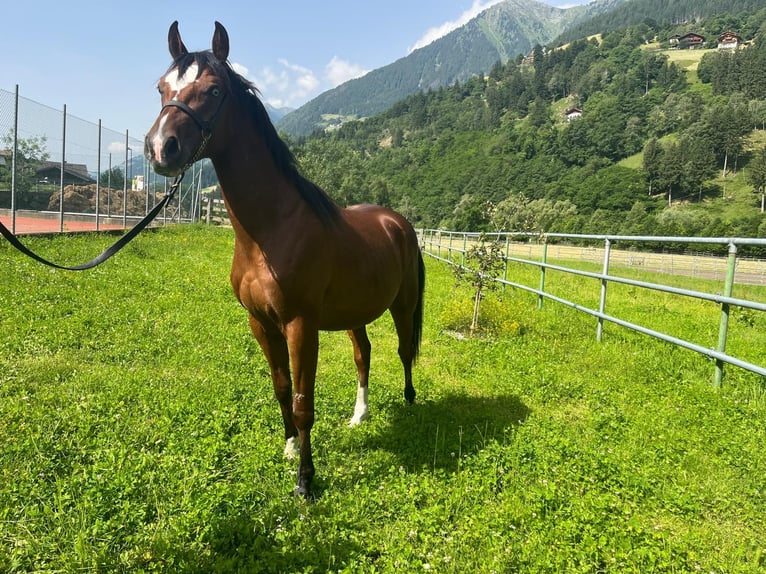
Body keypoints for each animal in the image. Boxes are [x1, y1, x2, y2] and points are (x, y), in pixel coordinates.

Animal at [144, 21, 426, 500]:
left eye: (215, 90)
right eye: (163, 87)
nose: (161, 148)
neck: (271, 230)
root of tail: (397, 222)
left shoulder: (300, 325)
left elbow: (302, 402)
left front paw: (306, 481)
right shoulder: (261, 323)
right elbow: (281, 389)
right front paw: (291, 449)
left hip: (402, 305)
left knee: (405, 350)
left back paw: (408, 403)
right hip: (355, 313)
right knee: (363, 354)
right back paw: (360, 415)